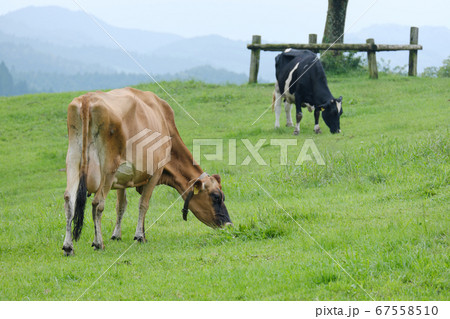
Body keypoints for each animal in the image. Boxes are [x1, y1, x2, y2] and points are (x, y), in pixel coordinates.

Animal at [62, 88, 232, 258]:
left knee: (69, 199)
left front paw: (117, 235)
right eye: (216, 197)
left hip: (73, 160)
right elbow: (144, 203)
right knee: (98, 203)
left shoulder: (122, 178)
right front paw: (139, 236)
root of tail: (87, 99)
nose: (229, 224)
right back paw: (99, 243)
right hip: (108, 168)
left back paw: (68, 246)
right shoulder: (156, 171)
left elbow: (121, 205)